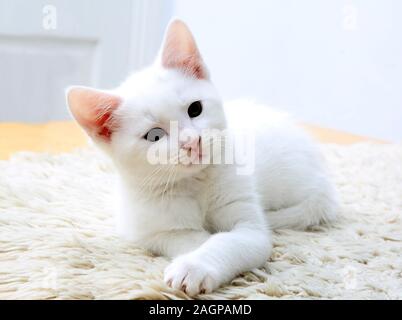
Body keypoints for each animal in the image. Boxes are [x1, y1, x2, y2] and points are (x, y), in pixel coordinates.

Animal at [65, 19, 336, 296]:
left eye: (195, 108)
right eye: (154, 136)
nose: (190, 142)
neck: (195, 183)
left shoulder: (250, 226)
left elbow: (231, 240)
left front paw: (194, 266)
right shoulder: (147, 229)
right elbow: (188, 237)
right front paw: (195, 250)